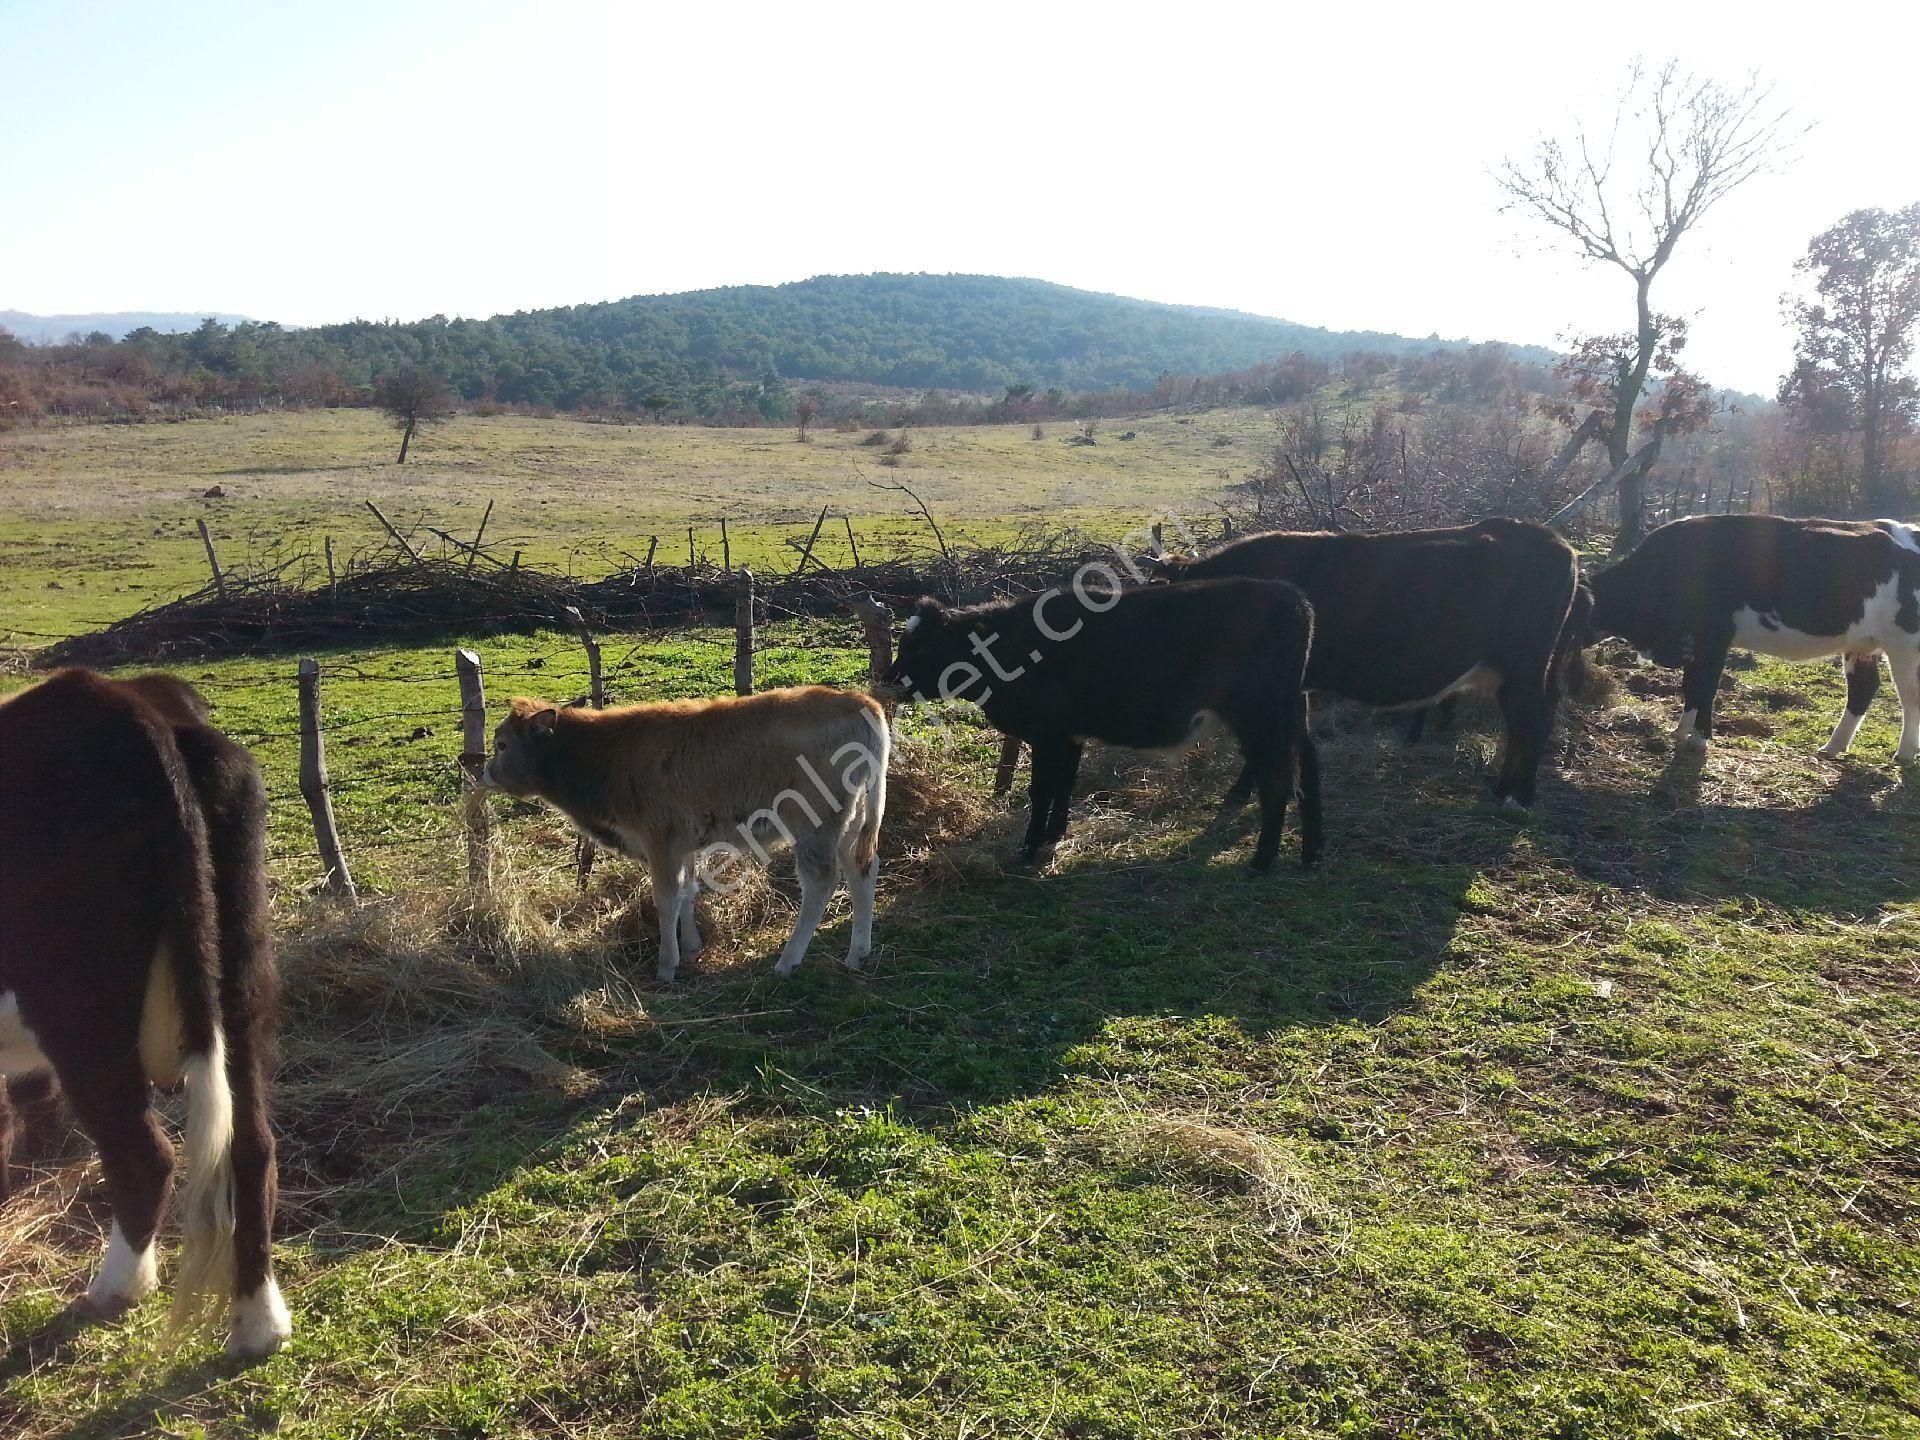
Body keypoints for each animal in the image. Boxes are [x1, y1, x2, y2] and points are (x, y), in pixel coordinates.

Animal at [0, 672, 291, 1359]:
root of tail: (130, 705)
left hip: (80, 1009)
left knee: (144, 1154)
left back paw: (116, 1289)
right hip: (241, 975)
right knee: (252, 1143)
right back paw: (258, 1322)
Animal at [487, 687, 890, 983]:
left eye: (503, 744)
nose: (481, 770)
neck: (610, 752)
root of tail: (859, 700)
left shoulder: (659, 841)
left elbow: (666, 899)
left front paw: (667, 965)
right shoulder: (683, 846)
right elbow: (688, 891)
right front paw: (692, 946)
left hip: (815, 826)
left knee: (820, 883)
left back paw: (788, 961)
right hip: (852, 822)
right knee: (862, 871)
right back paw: (858, 953)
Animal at [883, 579, 1320, 875]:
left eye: (924, 646)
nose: (888, 679)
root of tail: (1292, 597)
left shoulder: (1048, 735)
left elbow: (1041, 790)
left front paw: (1028, 849)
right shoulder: (1070, 735)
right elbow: (1065, 784)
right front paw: (1055, 834)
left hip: (1260, 716)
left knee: (1278, 778)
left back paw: (1263, 858)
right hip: (1289, 711)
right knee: (1308, 767)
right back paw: (1310, 852)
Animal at [1152, 518, 1574, 814]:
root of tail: (1556, 542)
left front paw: (1242, 791)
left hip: (1524, 665)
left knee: (1533, 720)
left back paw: (1521, 798)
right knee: (1524, 723)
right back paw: (1503, 790)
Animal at [1582, 514, 1920, 760]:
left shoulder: (1715, 637)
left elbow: (1706, 687)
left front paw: (1699, 740)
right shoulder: (1694, 643)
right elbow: (1691, 685)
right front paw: (1680, 732)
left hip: (1905, 643)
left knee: (1910, 695)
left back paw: (1904, 754)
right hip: (1861, 643)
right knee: (1864, 689)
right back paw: (1832, 747)